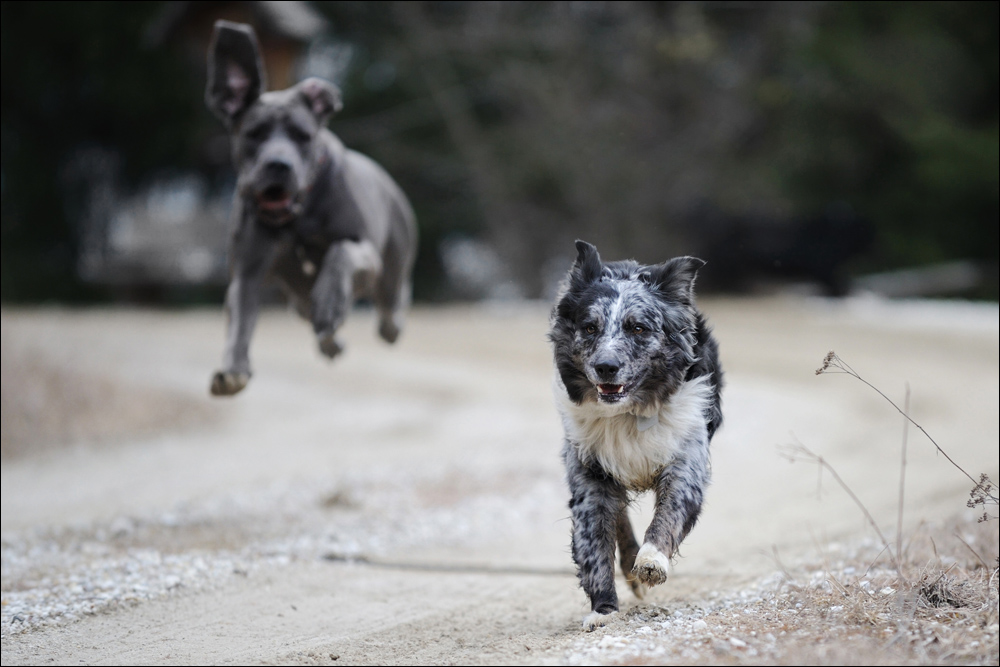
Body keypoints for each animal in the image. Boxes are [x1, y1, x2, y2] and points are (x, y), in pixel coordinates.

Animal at [207, 20, 418, 396]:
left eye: (302, 135)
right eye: (254, 133)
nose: (278, 164)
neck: (298, 218)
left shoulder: (367, 253)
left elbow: (341, 251)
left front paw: (330, 301)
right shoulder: (247, 273)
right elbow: (239, 321)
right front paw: (233, 371)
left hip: (392, 272)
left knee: (390, 314)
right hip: (298, 302)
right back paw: (331, 342)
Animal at [552, 240, 724, 632]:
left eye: (639, 328)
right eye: (589, 327)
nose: (606, 367)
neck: (629, 411)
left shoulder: (685, 461)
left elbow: (669, 513)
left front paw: (651, 560)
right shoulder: (589, 473)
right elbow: (594, 543)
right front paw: (603, 610)